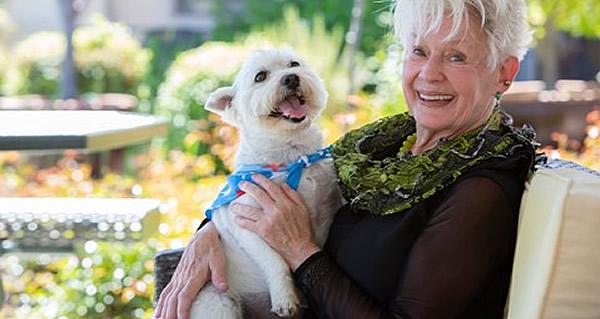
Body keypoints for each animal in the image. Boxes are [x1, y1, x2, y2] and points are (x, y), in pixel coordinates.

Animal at [190, 48, 344, 319]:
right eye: (260, 77)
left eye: (294, 64)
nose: (291, 78)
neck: (291, 157)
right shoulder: (246, 225)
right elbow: (275, 260)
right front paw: (286, 297)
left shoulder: (327, 211)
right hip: (219, 302)